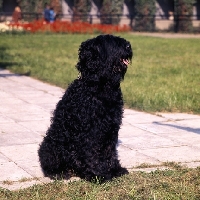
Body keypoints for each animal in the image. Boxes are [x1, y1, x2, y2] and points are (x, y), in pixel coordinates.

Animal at [38, 34, 133, 183]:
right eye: (110, 42)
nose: (128, 46)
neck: (100, 86)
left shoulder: (111, 128)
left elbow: (110, 152)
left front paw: (114, 170)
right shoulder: (89, 131)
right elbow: (91, 154)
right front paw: (98, 175)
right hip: (50, 146)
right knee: (49, 165)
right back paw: (60, 173)